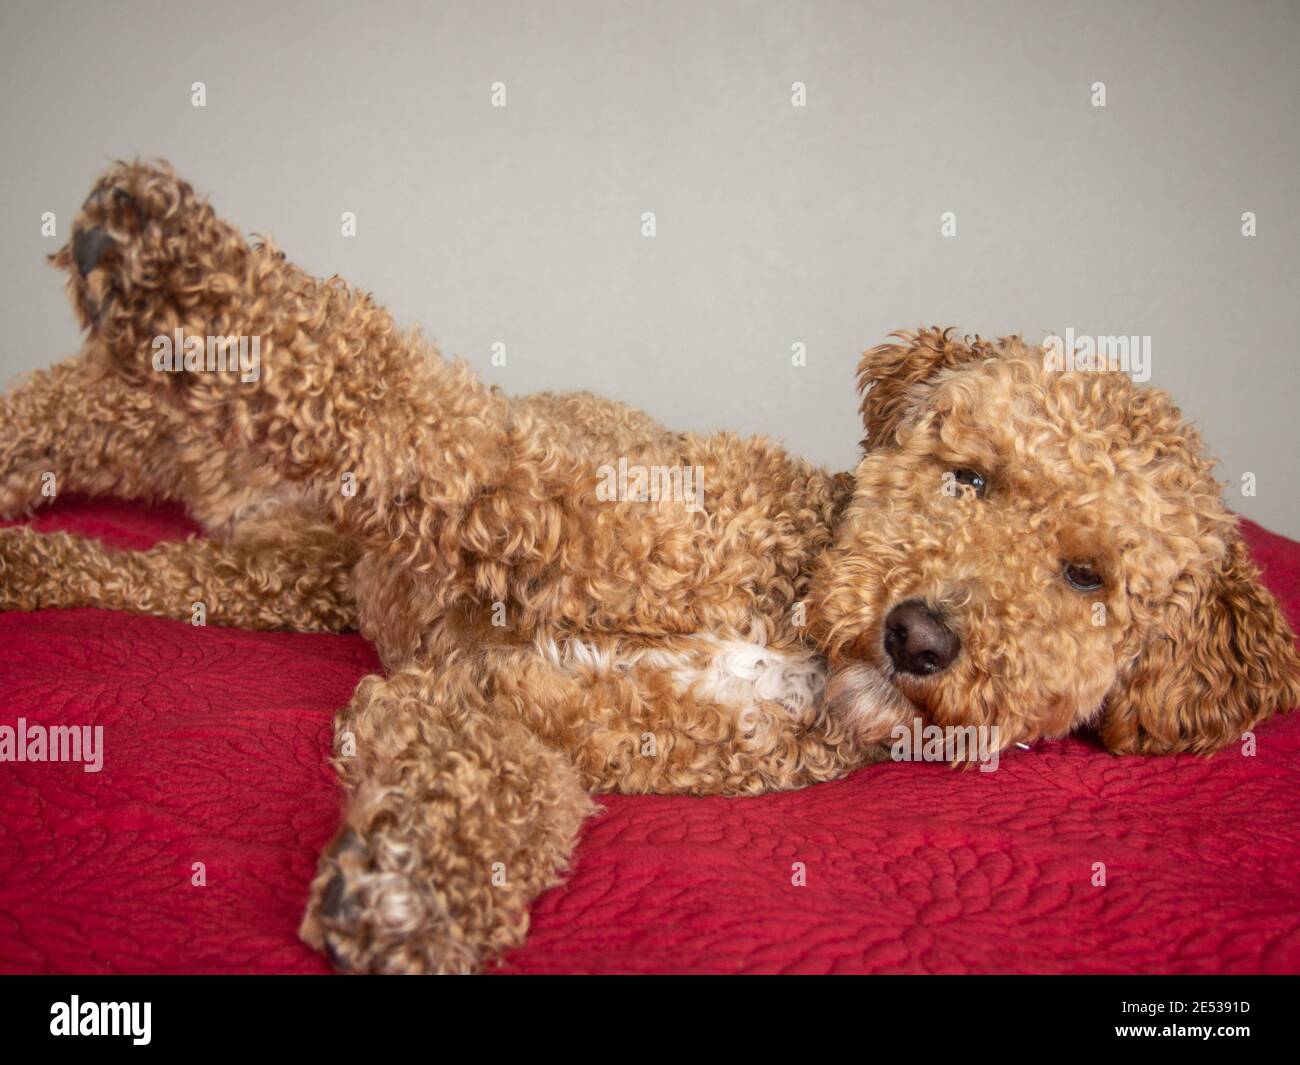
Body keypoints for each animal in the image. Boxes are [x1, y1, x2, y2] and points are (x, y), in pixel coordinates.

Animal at [0, 160, 1294, 972]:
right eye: (966, 475)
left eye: (1086, 577)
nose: (918, 635)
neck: (792, 622)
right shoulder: (559, 506)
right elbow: (406, 402)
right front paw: (179, 270)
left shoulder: (498, 706)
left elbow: (499, 792)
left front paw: (410, 884)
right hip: (125, 418)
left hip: (262, 573)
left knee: (136, 569)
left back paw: (29, 563)